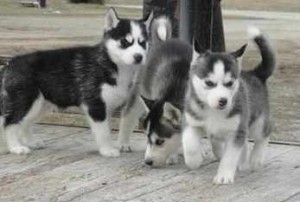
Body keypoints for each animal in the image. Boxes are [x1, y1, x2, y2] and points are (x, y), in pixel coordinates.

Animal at [0, 7, 154, 156]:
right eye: (125, 42)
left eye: (142, 43)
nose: (139, 57)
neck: (109, 63)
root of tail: (10, 63)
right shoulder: (95, 105)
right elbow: (104, 133)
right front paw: (107, 150)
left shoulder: (107, 107)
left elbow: (107, 130)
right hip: (27, 101)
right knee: (10, 123)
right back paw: (16, 147)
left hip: (40, 105)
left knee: (25, 123)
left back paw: (31, 142)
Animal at [182, 27, 276, 185]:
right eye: (209, 83)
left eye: (230, 83)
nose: (223, 101)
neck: (213, 111)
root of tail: (255, 74)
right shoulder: (192, 122)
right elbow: (189, 141)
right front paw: (193, 160)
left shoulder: (236, 131)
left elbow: (230, 156)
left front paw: (224, 175)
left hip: (257, 122)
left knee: (265, 133)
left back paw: (256, 159)